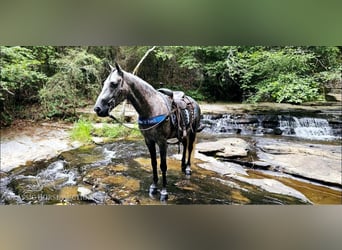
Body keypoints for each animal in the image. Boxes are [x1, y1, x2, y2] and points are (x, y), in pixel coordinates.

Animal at [93, 62, 202, 201]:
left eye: (113, 83)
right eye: (104, 83)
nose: (98, 109)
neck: (151, 108)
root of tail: (192, 101)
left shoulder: (162, 142)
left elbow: (163, 165)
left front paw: (164, 192)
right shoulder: (149, 141)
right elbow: (153, 163)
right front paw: (154, 187)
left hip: (192, 133)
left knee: (189, 148)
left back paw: (187, 168)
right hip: (183, 133)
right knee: (184, 146)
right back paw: (182, 166)